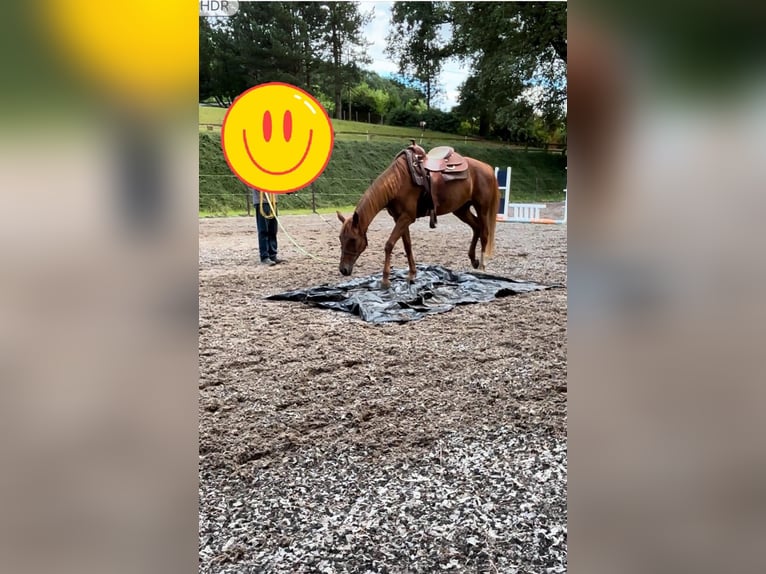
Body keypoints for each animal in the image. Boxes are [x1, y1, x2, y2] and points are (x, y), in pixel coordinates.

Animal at [340, 152, 500, 290]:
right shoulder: (399, 218)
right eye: (340, 238)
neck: (398, 181)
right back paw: (473, 260)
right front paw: (412, 274)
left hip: (482, 208)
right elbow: (407, 245)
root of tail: (487, 168)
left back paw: (482, 267)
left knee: (484, 233)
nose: (343, 269)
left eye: (353, 239)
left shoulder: (406, 217)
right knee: (476, 227)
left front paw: (385, 280)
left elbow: (389, 244)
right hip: (461, 209)